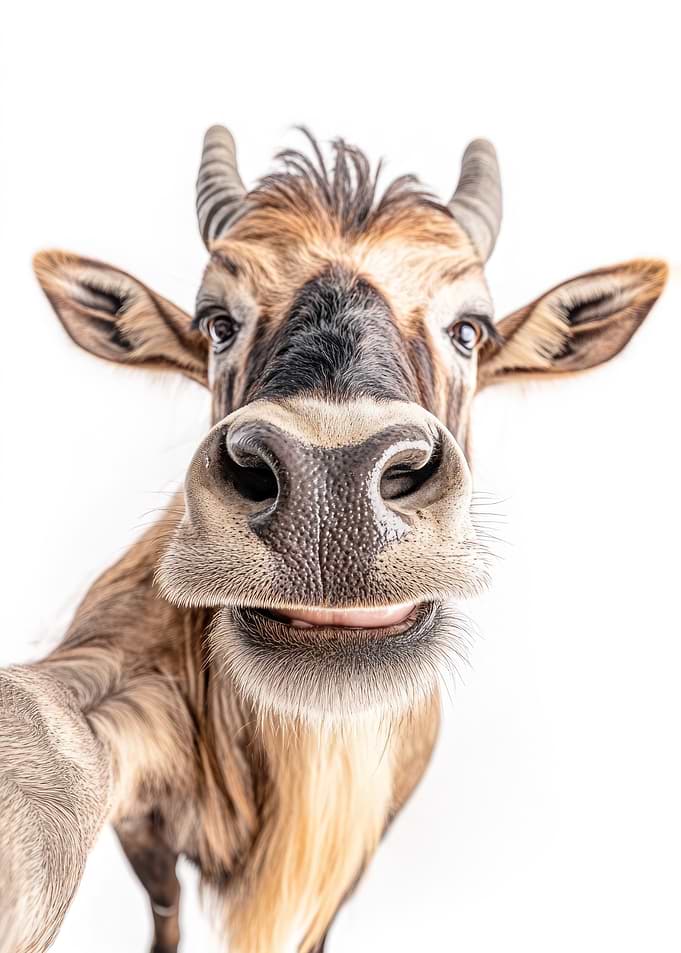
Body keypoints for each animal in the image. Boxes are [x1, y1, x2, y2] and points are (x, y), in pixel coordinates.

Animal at [0, 126, 667, 953]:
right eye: (216, 321)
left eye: (469, 330)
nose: (328, 488)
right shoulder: (142, 820)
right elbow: (162, 909)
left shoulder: (348, 865)